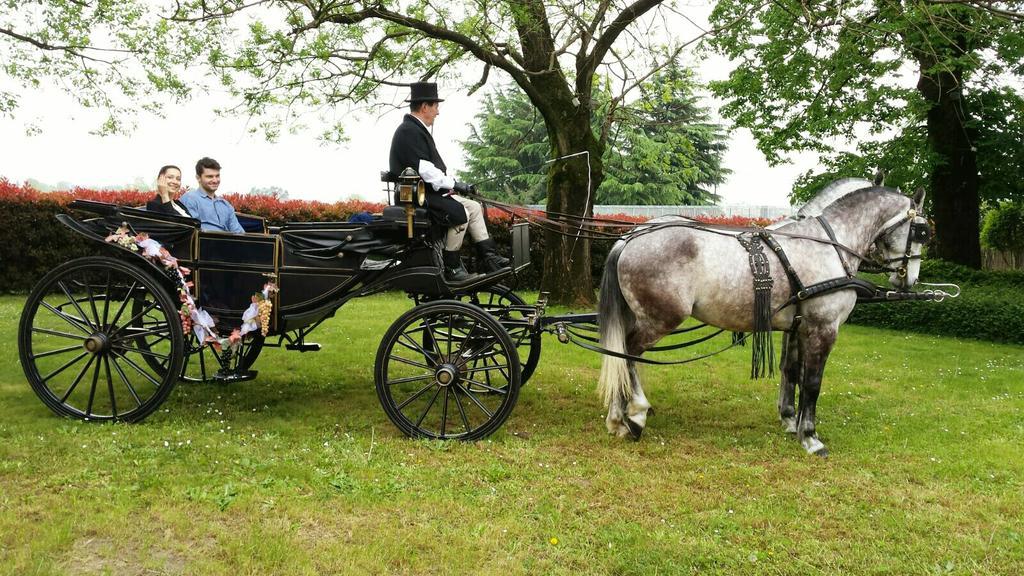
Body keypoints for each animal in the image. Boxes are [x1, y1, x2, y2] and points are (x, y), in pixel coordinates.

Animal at [598, 183, 933, 453]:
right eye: (921, 231)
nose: (909, 279)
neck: (828, 244)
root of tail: (630, 237)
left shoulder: (798, 327)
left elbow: (792, 373)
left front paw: (791, 422)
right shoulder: (823, 328)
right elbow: (813, 382)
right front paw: (810, 437)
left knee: (617, 355)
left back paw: (617, 418)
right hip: (660, 319)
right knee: (628, 353)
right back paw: (636, 413)